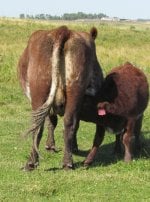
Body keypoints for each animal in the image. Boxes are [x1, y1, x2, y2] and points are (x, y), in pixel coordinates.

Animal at [17, 25, 103, 170]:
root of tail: (63, 30)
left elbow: (51, 121)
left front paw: (51, 146)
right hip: (73, 88)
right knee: (68, 122)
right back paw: (66, 162)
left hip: (40, 90)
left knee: (40, 125)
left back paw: (33, 162)